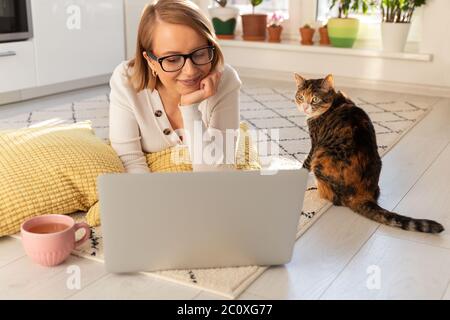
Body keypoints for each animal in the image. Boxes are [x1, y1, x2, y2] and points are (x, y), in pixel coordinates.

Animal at [294, 74, 444, 234]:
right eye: (301, 97)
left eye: (315, 99)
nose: (304, 107)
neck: (335, 101)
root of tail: (363, 195)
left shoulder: (315, 143)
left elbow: (306, 163)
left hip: (321, 156)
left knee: (333, 198)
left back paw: (314, 189)